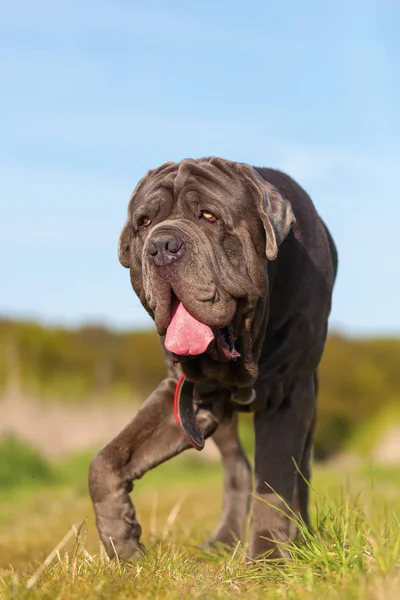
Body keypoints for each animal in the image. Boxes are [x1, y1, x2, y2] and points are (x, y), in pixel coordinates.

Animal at [88, 157, 338, 560]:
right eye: (144, 222)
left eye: (209, 216)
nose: (162, 245)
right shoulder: (183, 396)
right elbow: (106, 461)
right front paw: (121, 540)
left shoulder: (289, 393)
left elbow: (276, 478)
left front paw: (268, 559)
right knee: (237, 467)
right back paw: (223, 539)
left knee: (300, 471)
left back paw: (300, 536)